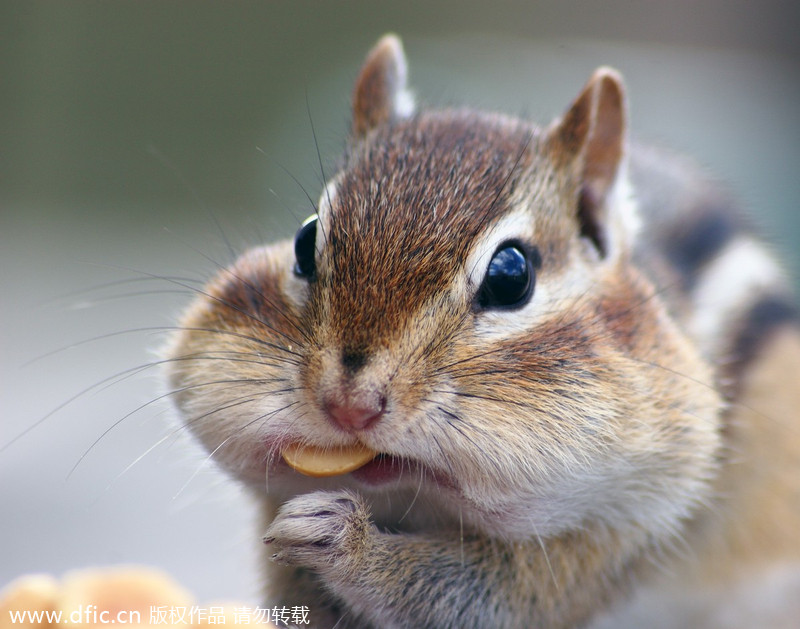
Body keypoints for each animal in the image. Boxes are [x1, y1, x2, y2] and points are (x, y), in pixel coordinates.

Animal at [164, 35, 800, 628]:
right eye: (304, 241)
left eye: (511, 275)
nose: (350, 406)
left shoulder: (612, 537)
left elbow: (473, 596)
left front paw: (342, 540)